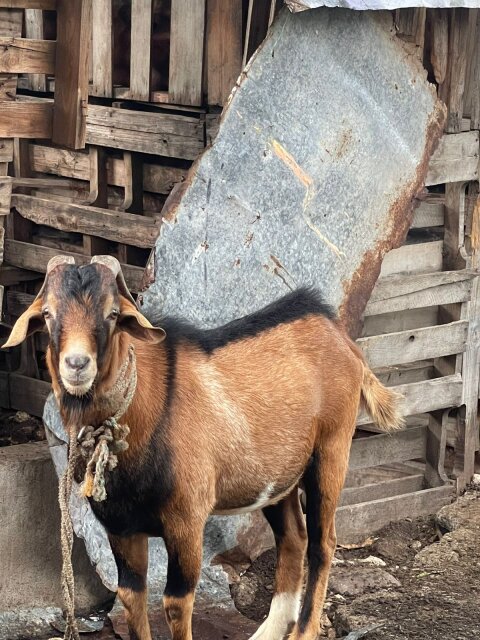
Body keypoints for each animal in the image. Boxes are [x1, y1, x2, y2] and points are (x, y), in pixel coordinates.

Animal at [3, 255, 404, 640]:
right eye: (48, 313)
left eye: (112, 314)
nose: (76, 365)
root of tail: (340, 337)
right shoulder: (121, 528)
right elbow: (132, 597)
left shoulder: (186, 520)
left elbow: (175, 604)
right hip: (279, 479)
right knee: (293, 538)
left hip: (332, 451)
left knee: (323, 543)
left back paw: (303, 631)